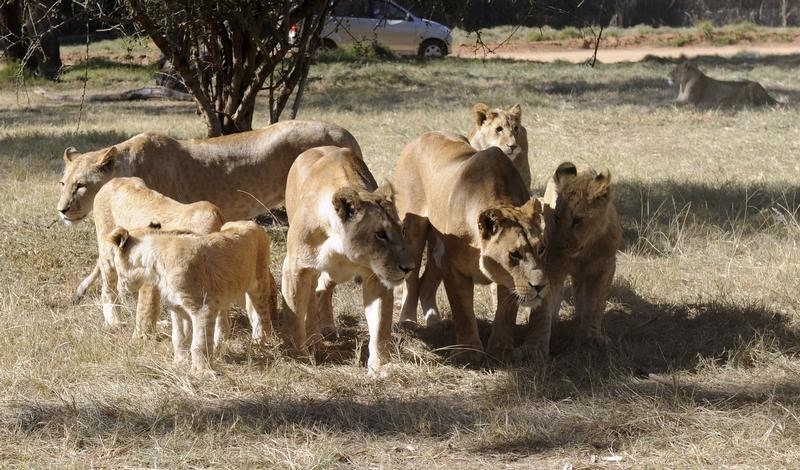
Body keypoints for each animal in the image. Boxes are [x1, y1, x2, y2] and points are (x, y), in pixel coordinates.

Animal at [80, 177, 222, 338]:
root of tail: (113, 180)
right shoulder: (150, 278)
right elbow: (145, 310)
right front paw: (139, 338)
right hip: (107, 251)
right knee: (108, 289)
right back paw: (114, 322)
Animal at [104, 219, 278, 370]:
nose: (123, 286)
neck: (155, 264)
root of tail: (250, 222)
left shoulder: (202, 307)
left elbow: (198, 343)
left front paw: (201, 372)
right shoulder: (177, 307)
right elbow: (179, 338)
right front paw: (179, 363)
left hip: (258, 284)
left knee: (262, 315)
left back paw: (261, 343)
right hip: (228, 289)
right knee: (225, 317)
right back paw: (219, 343)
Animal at [282, 146, 416, 374]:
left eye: (403, 230)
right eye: (380, 234)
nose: (409, 268)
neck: (341, 246)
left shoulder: (376, 278)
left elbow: (380, 325)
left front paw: (380, 367)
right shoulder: (295, 268)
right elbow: (294, 315)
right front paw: (298, 357)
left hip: (334, 273)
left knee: (322, 289)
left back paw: (326, 329)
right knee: (311, 297)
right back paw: (315, 340)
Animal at [394, 132, 552, 364]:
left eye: (541, 249)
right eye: (514, 254)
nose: (540, 287)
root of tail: (420, 137)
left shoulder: (508, 279)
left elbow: (506, 314)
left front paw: (501, 351)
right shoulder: (453, 268)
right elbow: (463, 312)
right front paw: (469, 352)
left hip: (437, 249)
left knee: (426, 284)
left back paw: (436, 323)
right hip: (414, 230)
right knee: (412, 280)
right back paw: (407, 321)